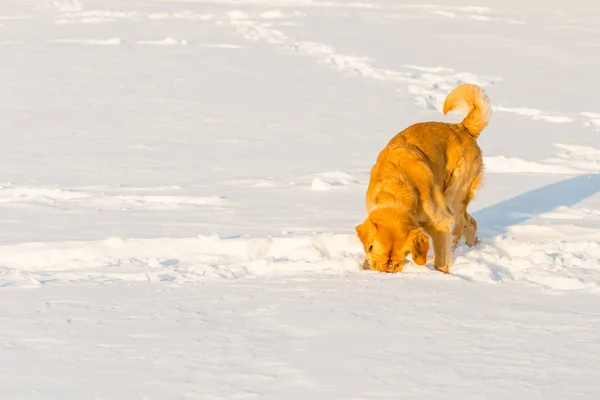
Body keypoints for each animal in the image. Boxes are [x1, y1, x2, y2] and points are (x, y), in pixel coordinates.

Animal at [354, 83, 490, 274]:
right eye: (378, 261)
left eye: (398, 263)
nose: (387, 273)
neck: (398, 188)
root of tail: (462, 127)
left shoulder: (441, 222)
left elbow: (441, 257)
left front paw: (441, 274)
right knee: (471, 222)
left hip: (454, 194)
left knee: (462, 222)